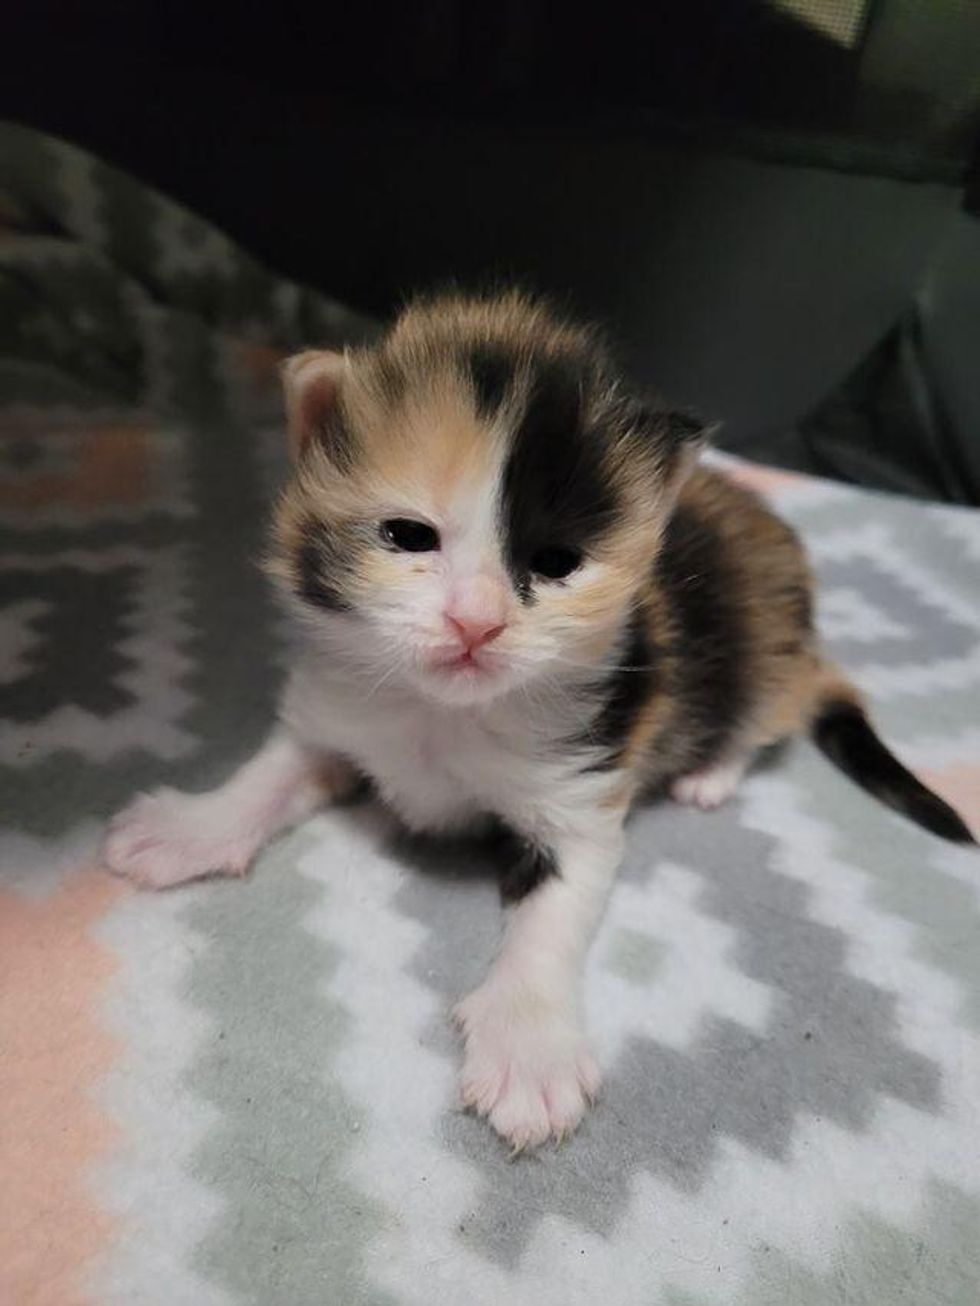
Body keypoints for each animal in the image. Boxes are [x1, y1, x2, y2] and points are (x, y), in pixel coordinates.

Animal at [103, 291, 977, 1149]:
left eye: (556, 562)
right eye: (408, 536)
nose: (476, 622)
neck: (443, 714)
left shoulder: (581, 794)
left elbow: (550, 922)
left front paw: (529, 1049)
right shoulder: (340, 713)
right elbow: (269, 772)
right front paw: (190, 828)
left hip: (768, 654)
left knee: (766, 716)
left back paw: (709, 773)